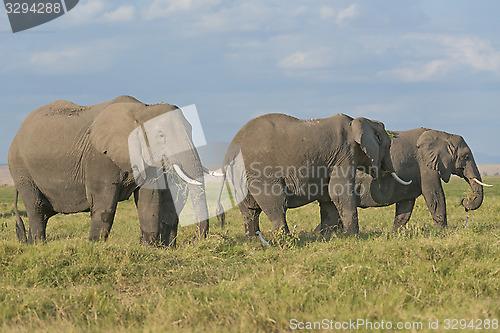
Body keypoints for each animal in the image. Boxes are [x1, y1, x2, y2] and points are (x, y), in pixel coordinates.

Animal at [8, 94, 215, 245]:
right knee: (35, 207)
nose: (194, 240)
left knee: (43, 212)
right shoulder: (99, 156)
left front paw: (148, 248)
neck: (142, 110)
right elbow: (104, 200)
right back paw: (37, 245)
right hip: (20, 169)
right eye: (161, 135)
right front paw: (94, 246)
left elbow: (149, 198)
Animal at [217, 113, 412, 235]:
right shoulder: (344, 154)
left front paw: (326, 237)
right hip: (260, 169)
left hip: (241, 174)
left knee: (249, 209)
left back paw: (254, 241)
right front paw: (353, 236)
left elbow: (328, 199)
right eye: (388, 145)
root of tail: (230, 148)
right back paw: (285, 239)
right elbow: (339, 192)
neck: (358, 121)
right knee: (276, 203)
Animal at [314, 127, 490, 233]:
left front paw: (394, 234)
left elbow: (406, 205)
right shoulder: (426, 166)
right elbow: (434, 195)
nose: (465, 202)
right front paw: (444, 232)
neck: (443, 134)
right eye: (466, 157)